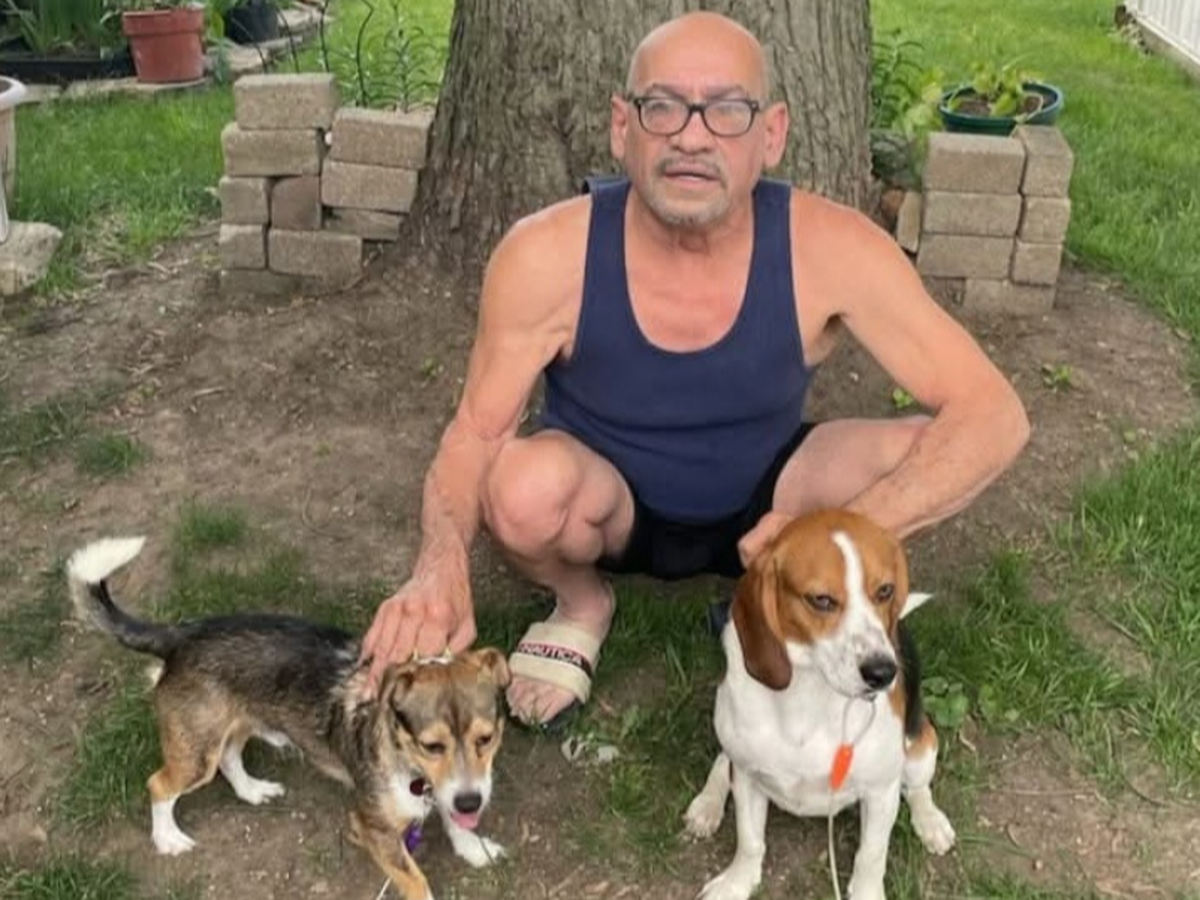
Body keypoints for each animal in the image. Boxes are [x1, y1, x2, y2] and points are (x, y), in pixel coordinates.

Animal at [67, 536, 509, 900]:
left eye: (486, 739)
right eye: (432, 745)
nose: (472, 800)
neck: (409, 761)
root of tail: (179, 635)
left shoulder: (451, 791)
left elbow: (456, 821)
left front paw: (474, 848)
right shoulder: (374, 829)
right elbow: (417, 880)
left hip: (236, 724)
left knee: (230, 758)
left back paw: (252, 791)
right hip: (196, 753)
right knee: (159, 784)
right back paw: (168, 839)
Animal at [684, 510, 956, 900]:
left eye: (885, 591)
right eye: (821, 600)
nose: (883, 672)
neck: (810, 691)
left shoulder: (880, 791)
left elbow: (871, 855)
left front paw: (867, 892)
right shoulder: (748, 776)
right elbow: (750, 841)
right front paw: (737, 883)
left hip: (921, 747)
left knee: (917, 787)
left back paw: (931, 822)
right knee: (724, 761)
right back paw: (707, 803)